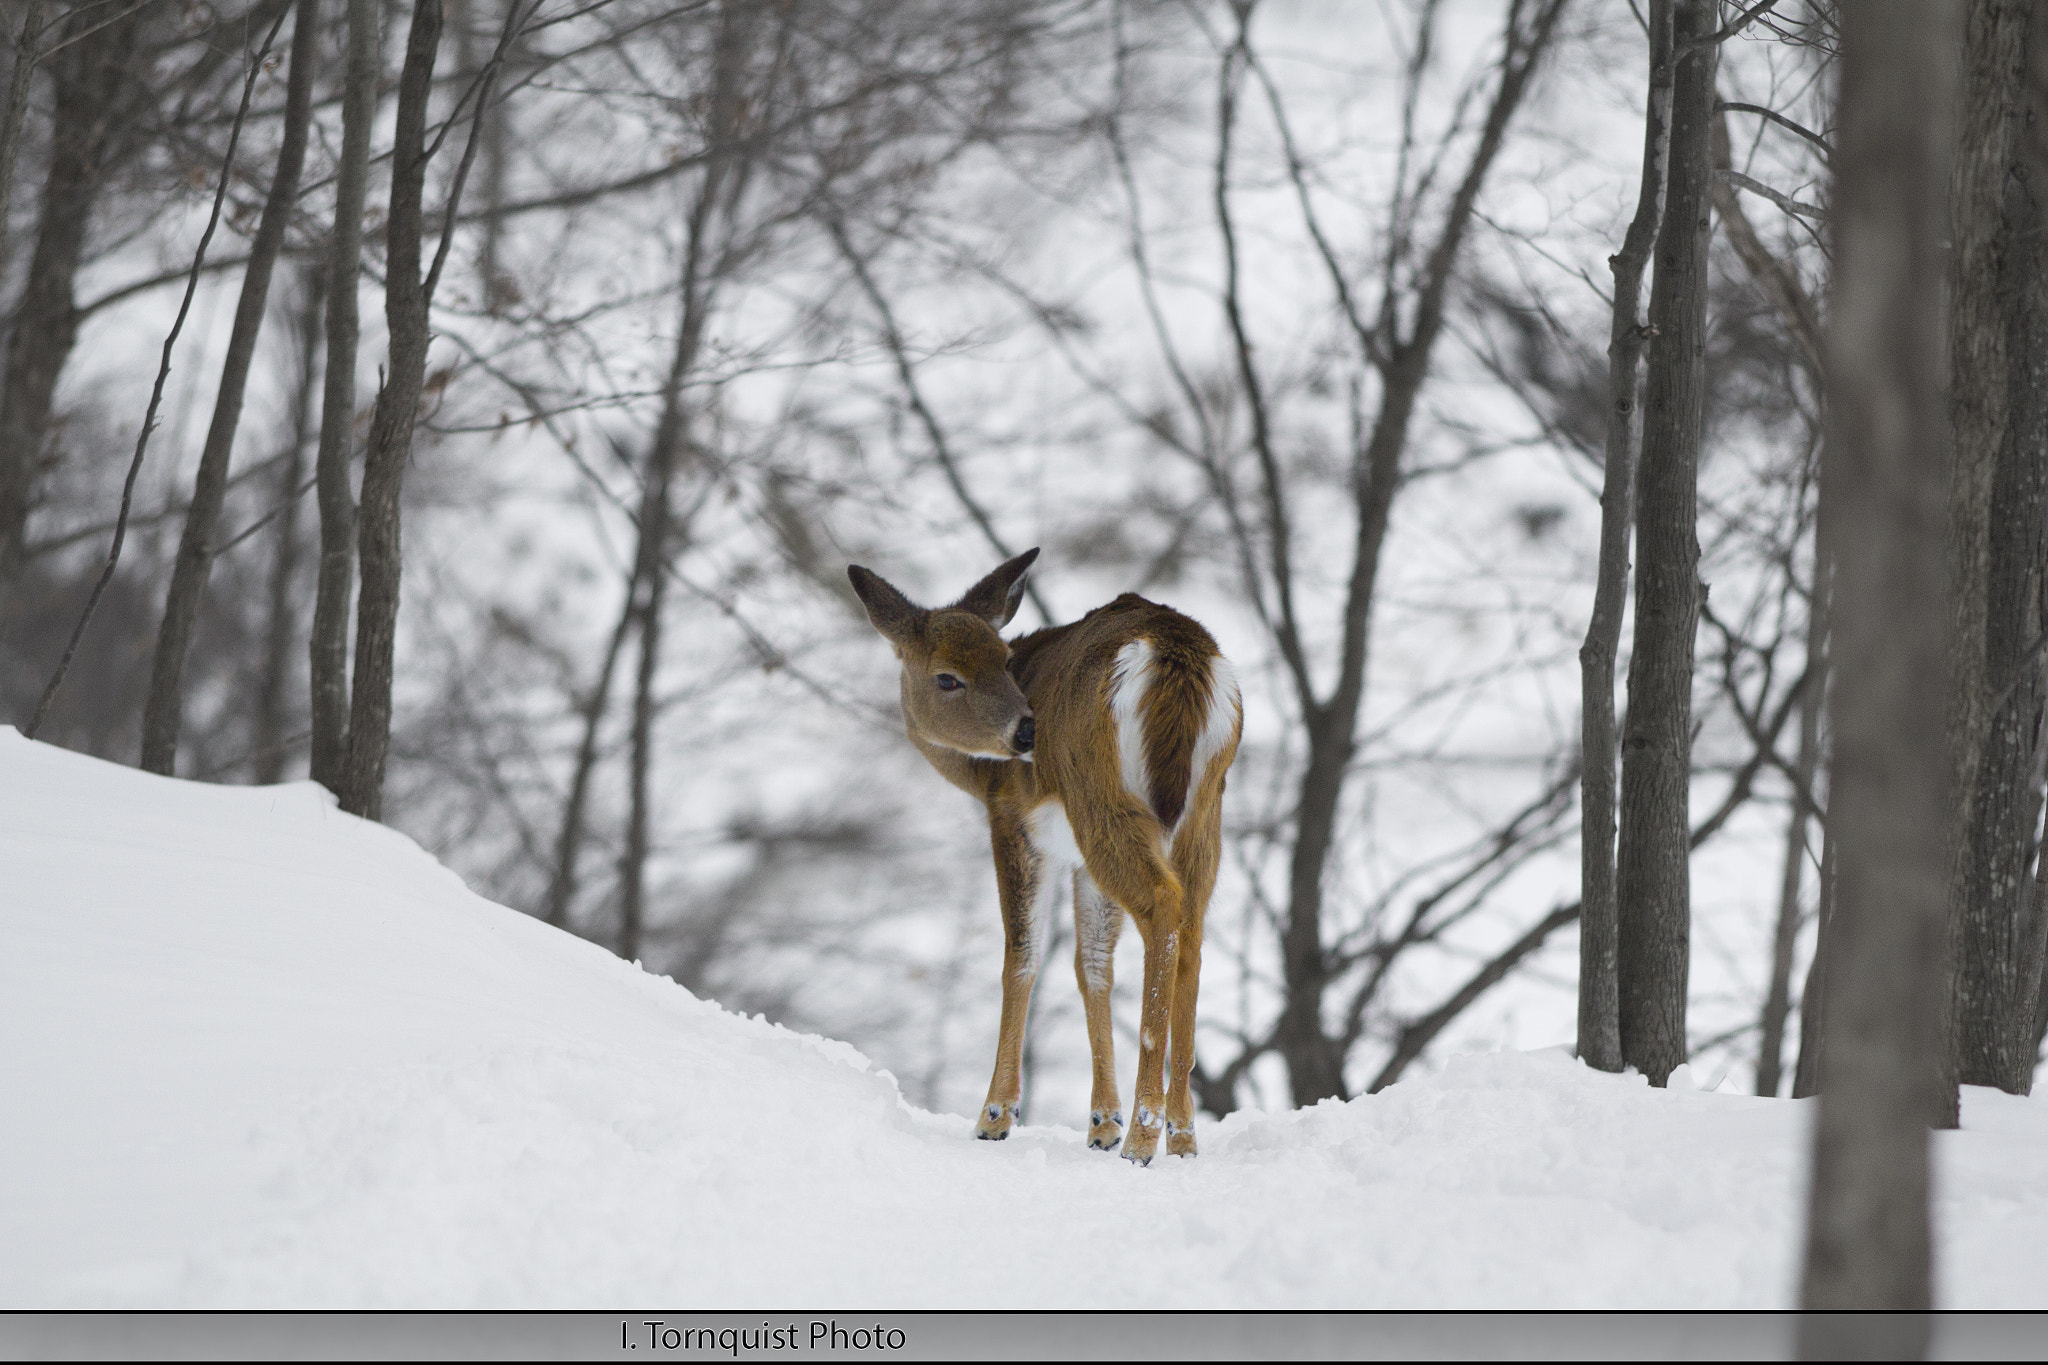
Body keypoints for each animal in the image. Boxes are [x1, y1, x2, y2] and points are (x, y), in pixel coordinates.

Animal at [839, 544, 1236, 1162]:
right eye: (947, 677)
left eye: (1004, 660)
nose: (1028, 733)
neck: (977, 773)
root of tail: (1175, 655)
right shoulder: (1075, 858)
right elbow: (1092, 965)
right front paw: (1100, 1123)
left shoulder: (1013, 819)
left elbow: (1020, 956)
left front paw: (996, 1116)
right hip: (1203, 813)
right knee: (1190, 931)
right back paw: (1182, 1137)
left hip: (1097, 793)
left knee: (1161, 903)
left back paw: (1144, 1138)